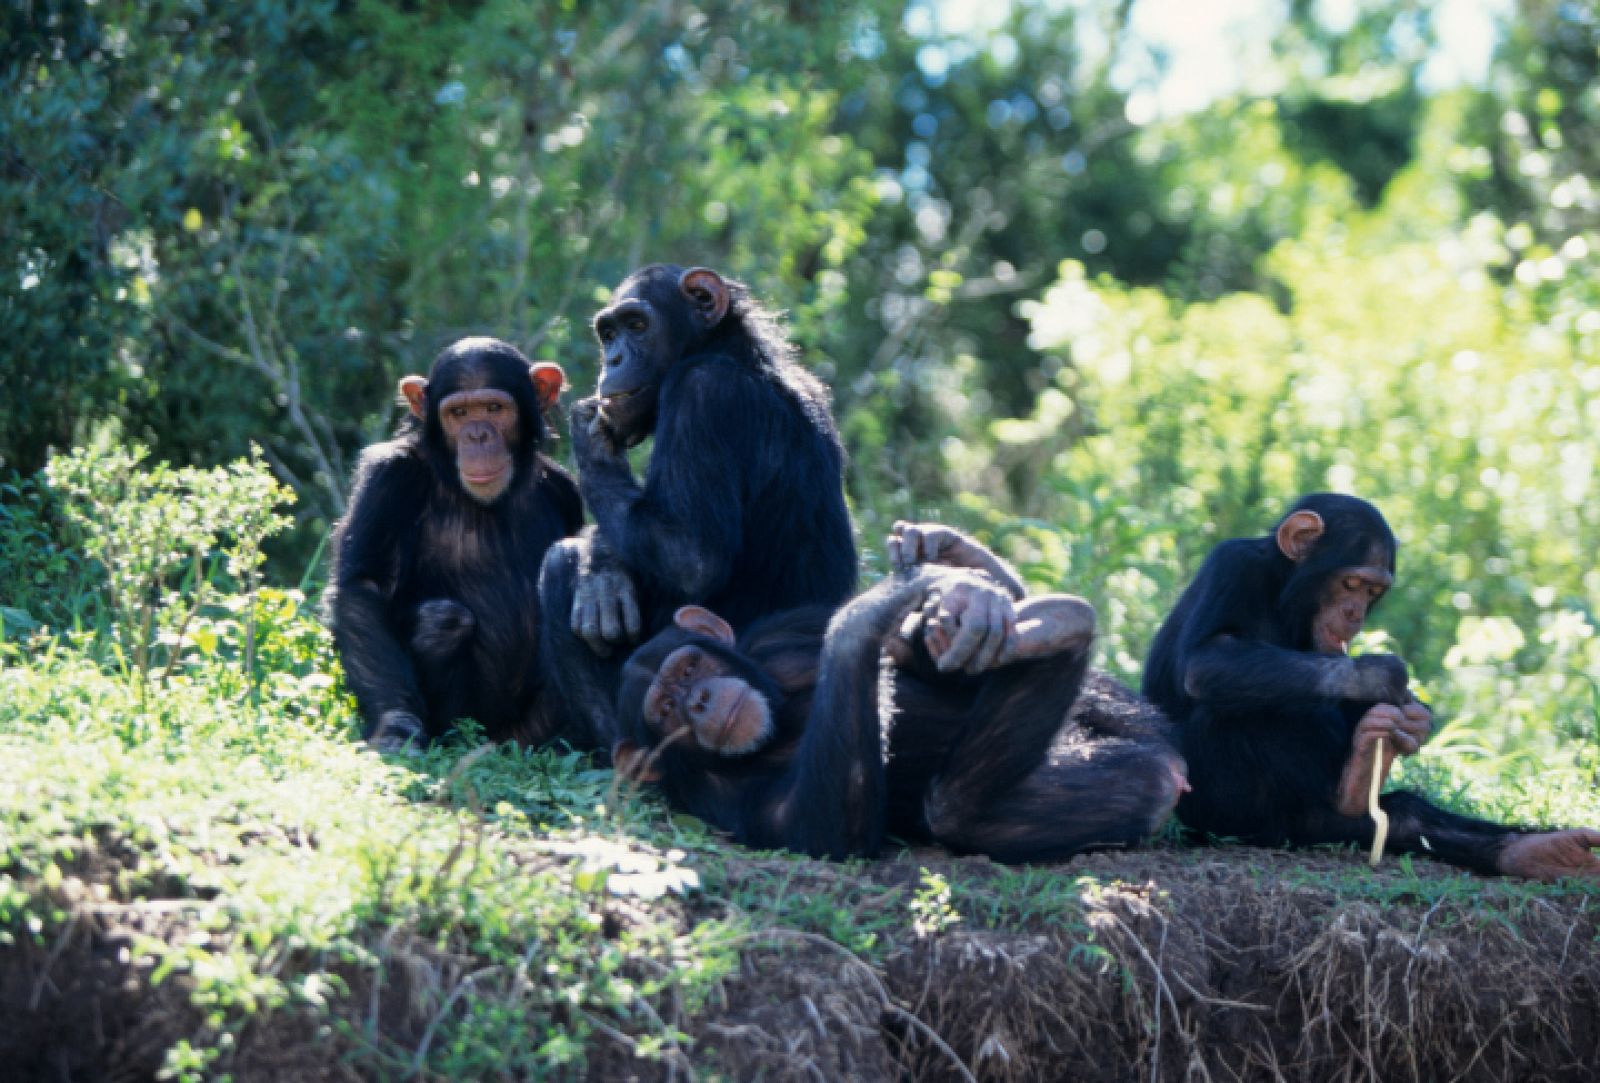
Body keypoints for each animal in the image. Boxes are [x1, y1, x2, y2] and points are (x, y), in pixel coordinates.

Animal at [326, 337, 582, 751]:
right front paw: (395, 725)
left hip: (528, 733)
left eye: (494, 409)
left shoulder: (566, 490)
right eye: (458, 413)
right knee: (443, 620)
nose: (477, 435)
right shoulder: (388, 475)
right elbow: (363, 587)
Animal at [540, 263, 864, 751]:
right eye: (609, 333)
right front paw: (602, 562)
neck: (728, 350)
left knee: (558, 564)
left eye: (637, 325)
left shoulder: (701, 395)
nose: (612, 360)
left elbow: (692, 558)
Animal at [604, 524, 1184, 863]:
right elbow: (827, 831)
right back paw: (1064, 623)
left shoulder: (783, 629)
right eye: (665, 711)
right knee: (958, 809)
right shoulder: (717, 803)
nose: (698, 702)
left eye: (690, 668)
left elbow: (937, 659)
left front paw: (950, 580)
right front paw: (876, 605)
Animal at [1145, 492, 1600, 883]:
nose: (1355, 613)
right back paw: (1357, 778)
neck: (1283, 588)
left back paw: (1541, 851)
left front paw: (1414, 720)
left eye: (1374, 591)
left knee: (1402, 817)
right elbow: (1207, 658)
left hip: (1320, 825)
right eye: (1350, 584)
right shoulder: (1233, 565)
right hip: (1229, 814)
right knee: (1231, 710)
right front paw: (1379, 676)